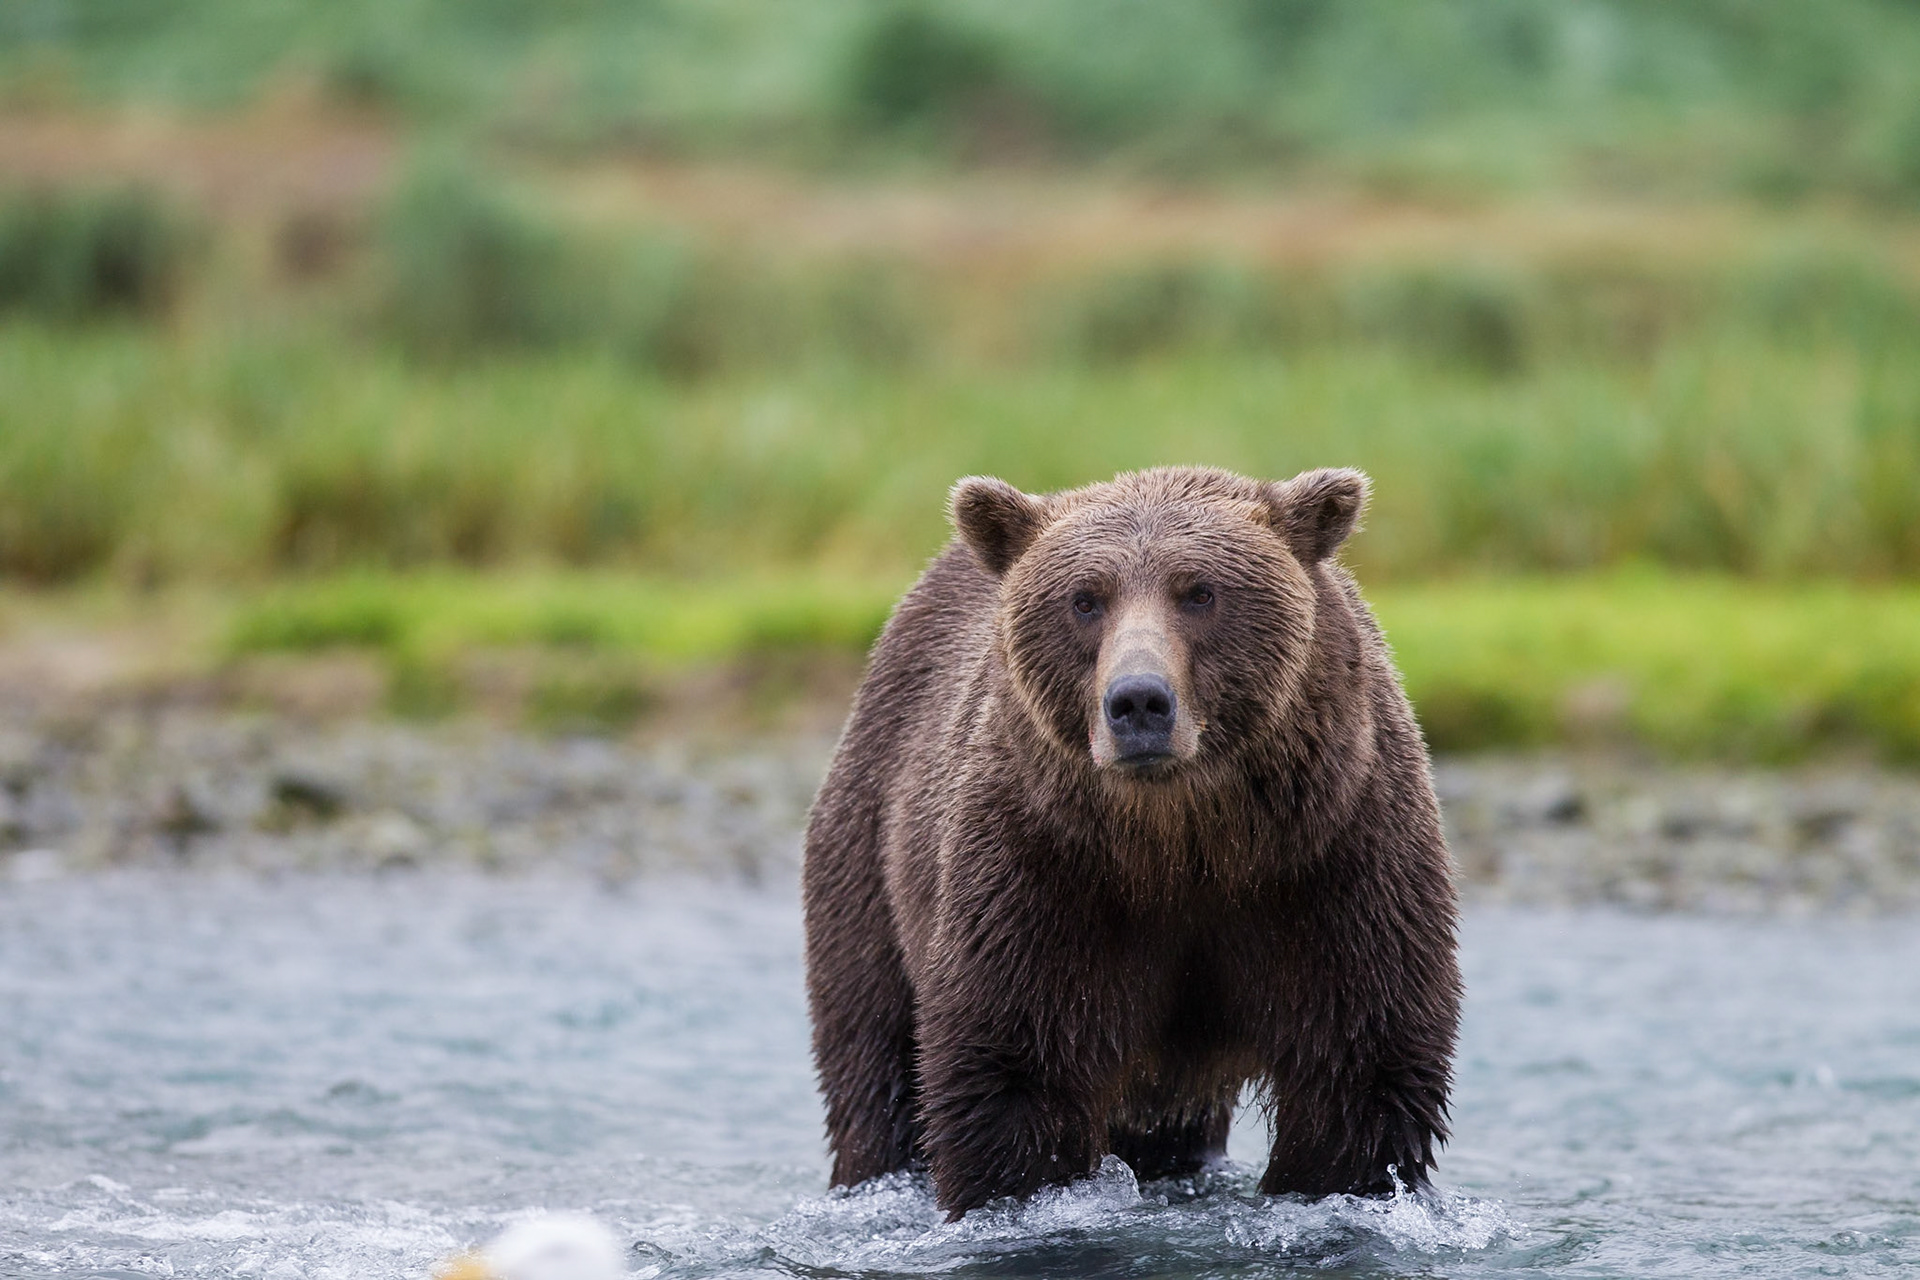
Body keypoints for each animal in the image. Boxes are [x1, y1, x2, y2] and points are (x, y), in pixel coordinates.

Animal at [802, 465, 1460, 1219]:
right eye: (1085, 599)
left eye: (1200, 591)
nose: (1138, 701)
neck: (1182, 843)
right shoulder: (1041, 874)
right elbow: (1014, 1070)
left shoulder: (1336, 861)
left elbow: (1358, 1064)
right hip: (871, 855)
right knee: (871, 1055)